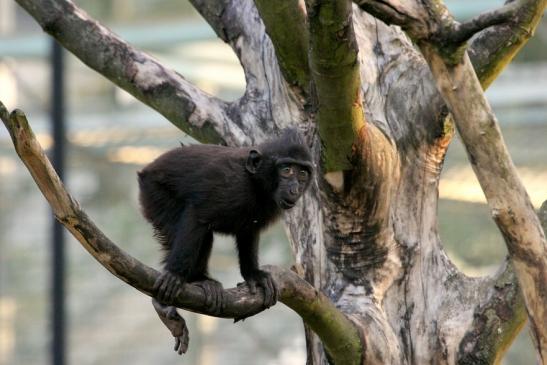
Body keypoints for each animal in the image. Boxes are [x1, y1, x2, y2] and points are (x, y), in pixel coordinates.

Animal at [138, 128, 312, 352]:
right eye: (287, 170)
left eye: (302, 173)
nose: (295, 188)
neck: (255, 183)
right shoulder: (230, 186)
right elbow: (197, 215)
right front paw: (175, 275)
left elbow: (248, 231)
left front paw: (254, 275)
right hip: (155, 194)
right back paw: (169, 297)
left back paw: (199, 280)